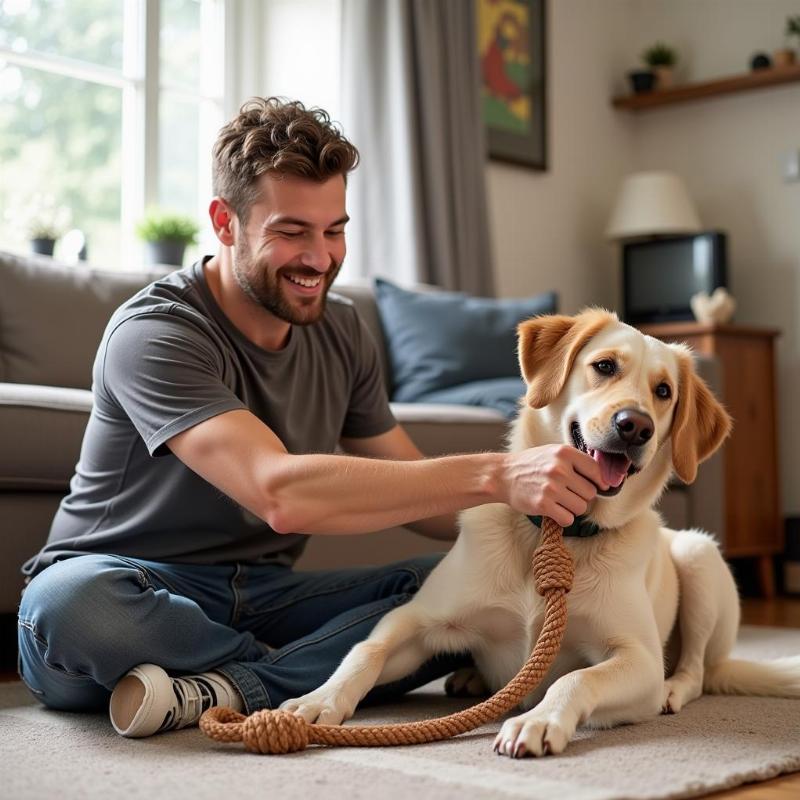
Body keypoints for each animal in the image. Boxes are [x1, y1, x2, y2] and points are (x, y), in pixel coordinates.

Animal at [278, 310, 796, 756]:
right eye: (604, 366)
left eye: (664, 391)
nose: (635, 426)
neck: (560, 532)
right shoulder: (415, 620)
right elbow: (364, 650)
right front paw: (318, 701)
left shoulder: (639, 659)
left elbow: (577, 678)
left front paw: (538, 720)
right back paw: (469, 676)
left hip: (697, 554)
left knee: (696, 669)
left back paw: (675, 689)